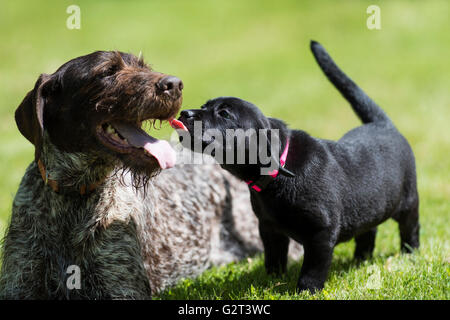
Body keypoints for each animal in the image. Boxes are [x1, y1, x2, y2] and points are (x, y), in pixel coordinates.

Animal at [172, 41, 418, 292]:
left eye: (224, 113)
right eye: (203, 106)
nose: (184, 113)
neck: (279, 170)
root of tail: (382, 124)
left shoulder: (321, 232)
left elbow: (313, 266)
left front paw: (306, 289)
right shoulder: (269, 228)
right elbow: (274, 256)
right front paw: (270, 279)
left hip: (408, 201)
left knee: (410, 228)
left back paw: (409, 254)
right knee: (368, 231)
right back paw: (361, 259)